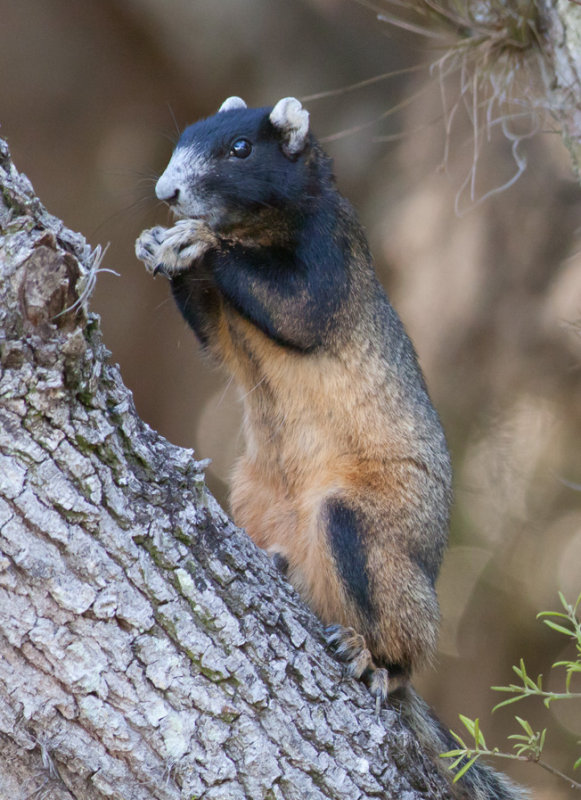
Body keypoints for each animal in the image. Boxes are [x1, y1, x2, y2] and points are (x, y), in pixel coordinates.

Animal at [137, 95, 524, 800]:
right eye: (182, 138)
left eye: (241, 148)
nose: (166, 193)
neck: (259, 229)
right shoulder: (224, 326)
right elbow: (213, 332)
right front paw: (156, 242)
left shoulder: (331, 261)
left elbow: (296, 308)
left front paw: (196, 241)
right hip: (257, 498)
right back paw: (279, 564)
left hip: (367, 531)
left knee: (403, 646)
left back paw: (374, 661)